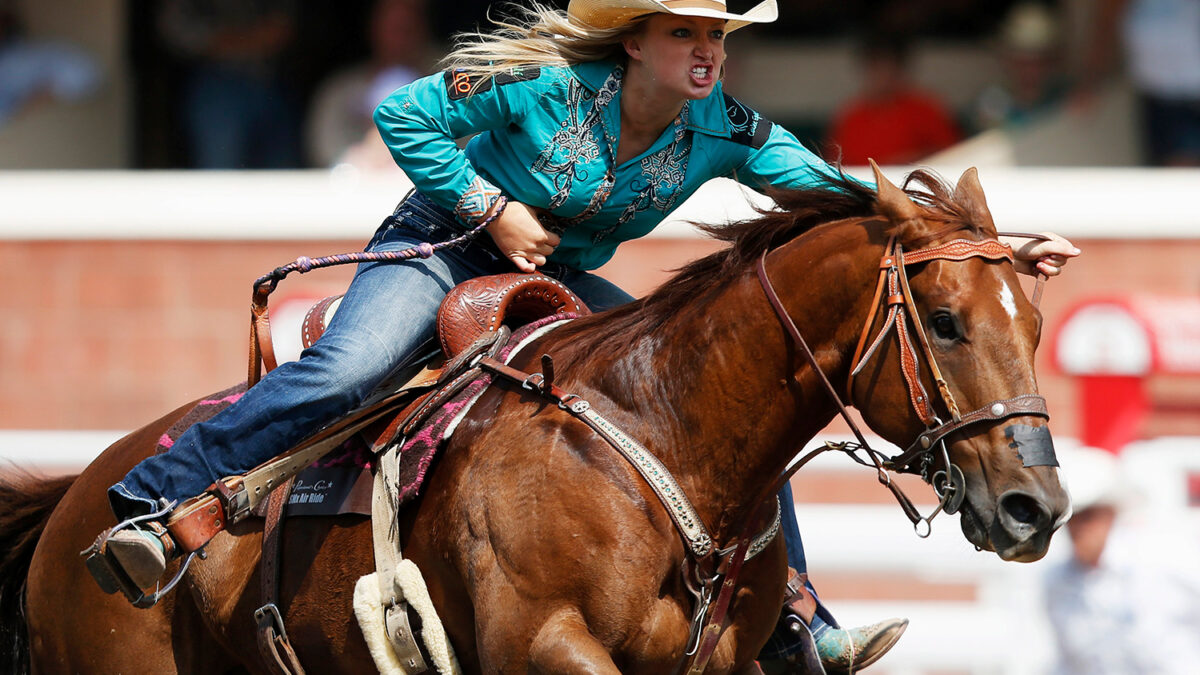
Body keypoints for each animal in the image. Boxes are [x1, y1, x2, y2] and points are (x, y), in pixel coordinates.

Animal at [0, 165, 1070, 667]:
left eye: (1035, 319)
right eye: (944, 320)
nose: (1037, 507)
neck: (662, 441)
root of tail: (77, 496)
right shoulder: (541, 640)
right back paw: (147, 530)